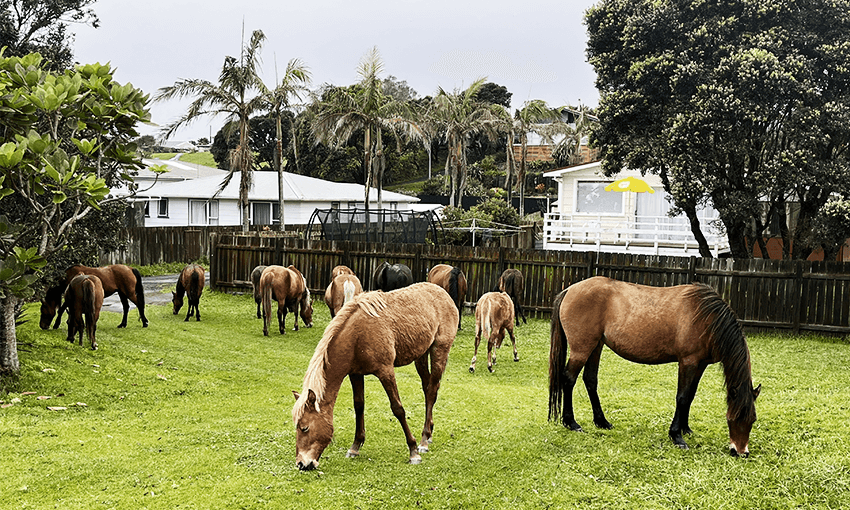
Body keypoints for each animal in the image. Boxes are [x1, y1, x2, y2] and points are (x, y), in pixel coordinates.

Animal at [292, 282, 459, 470]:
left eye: (305, 428)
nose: (302, 463)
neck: (357, 335)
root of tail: (442, 292)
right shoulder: (355, 374)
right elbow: (359, 406)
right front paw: (355, 446)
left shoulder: (386, 371)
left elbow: (398, 408)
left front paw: (413, 451)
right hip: (421, 356)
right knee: (427, 387)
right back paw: (428, 434)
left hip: (439, 351)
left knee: (432, 391)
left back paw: (424, 440)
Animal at [548, 276, 761, 456]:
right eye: (734, 417)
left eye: (752, 419)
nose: (741, 452)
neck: (707, 319)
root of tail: (569, 289)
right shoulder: (688, 362)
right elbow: (682, 397)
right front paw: (677, 436)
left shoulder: (701, 364)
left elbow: (690, 396)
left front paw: (686, 428)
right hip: (582, 349)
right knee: (569, 379)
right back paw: (571, 422)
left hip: (596, 346)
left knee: (590, 380)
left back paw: (602, 421)